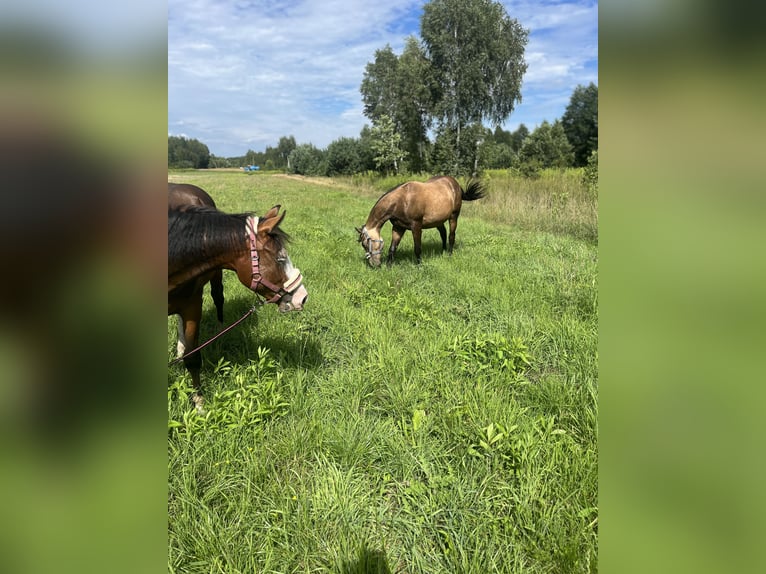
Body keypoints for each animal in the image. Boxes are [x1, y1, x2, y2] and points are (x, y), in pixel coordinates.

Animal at [356, 175, 486, 267]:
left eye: (365, 244)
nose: (374, 264)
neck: (402, 201)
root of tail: (456, 185)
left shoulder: (416, 227)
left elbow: (417, 248)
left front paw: (419, 266)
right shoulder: (398, 227)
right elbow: (392, 248)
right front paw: (389, 266)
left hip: (453, 217)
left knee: (451, 236)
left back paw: (449, 254)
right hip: (438, 221)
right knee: (443, 234)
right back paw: (443, 251)